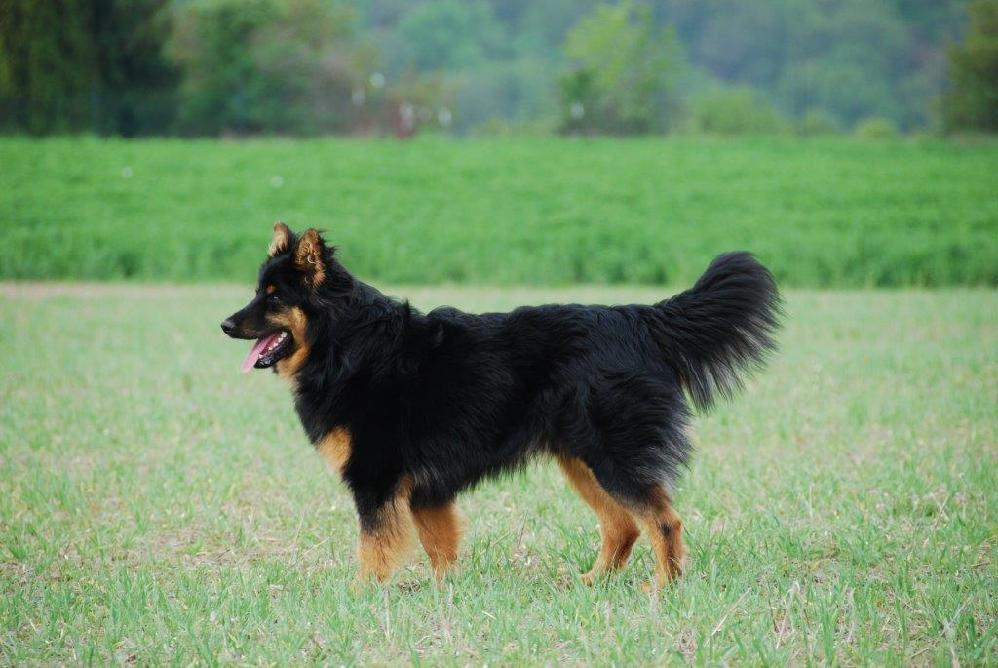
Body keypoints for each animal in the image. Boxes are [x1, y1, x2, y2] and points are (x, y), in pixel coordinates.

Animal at [221, 223, 781, 588]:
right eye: (257, 291)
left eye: (274, 297)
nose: (225, 324)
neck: (346, 344)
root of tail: (637, 319)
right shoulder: (426, 491)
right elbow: (440, 549)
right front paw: (444, 596)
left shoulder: (376, 480)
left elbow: (374, 550)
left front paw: (363, 597)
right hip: (582, 460)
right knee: (623, 525)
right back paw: (592, 582)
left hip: (610, 456)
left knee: (663, 521)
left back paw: (662, 588)